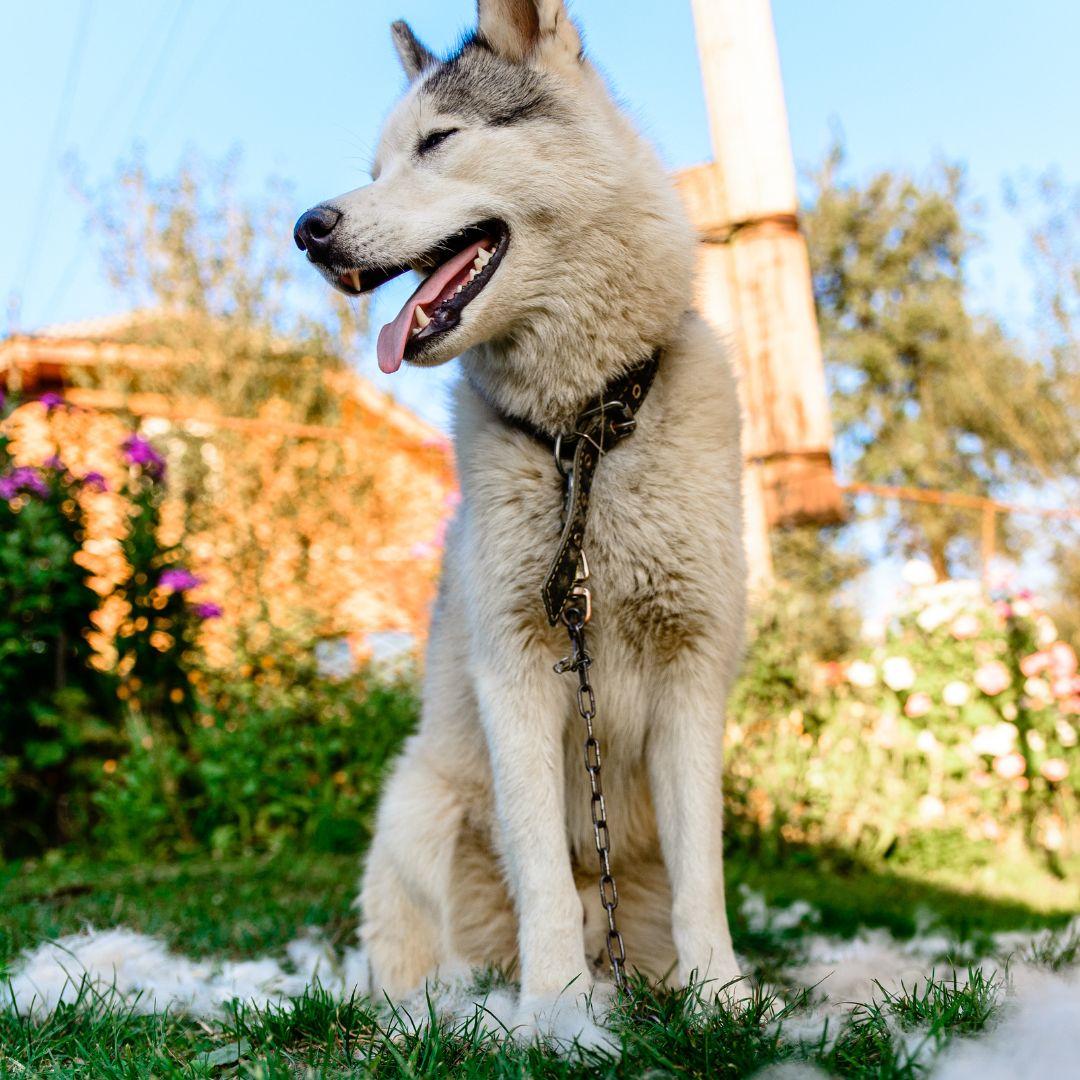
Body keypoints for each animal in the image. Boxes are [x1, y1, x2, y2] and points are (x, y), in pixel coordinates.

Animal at [300, 0, 747, 1028]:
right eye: (376, 168)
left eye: (439, 141)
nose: (308, 228)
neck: (584, 433)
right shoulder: (518, 672)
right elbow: (540, 867)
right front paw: (553, 1015)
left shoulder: (692, 672)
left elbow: (705, 876)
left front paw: (725, 999)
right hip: (420, 808)